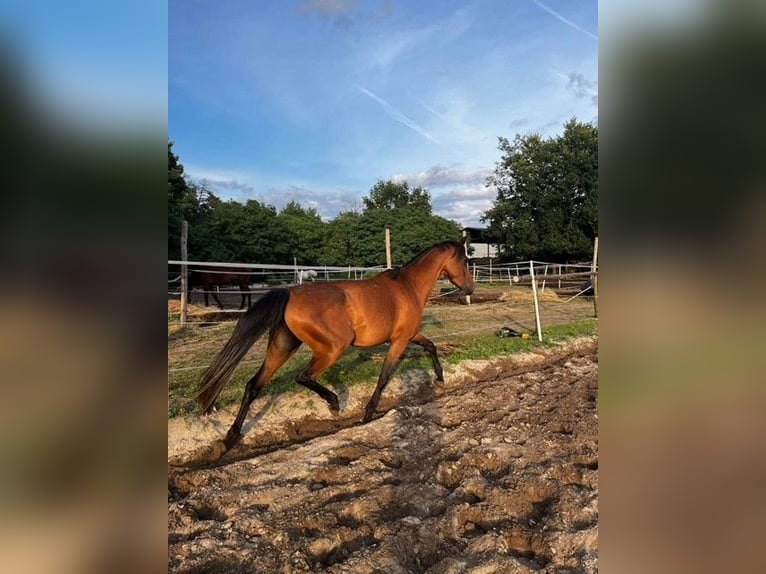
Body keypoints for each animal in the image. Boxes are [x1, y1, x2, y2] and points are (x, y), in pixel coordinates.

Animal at [198, 238, 474, 454]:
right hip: (332, 349)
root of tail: (290, 292)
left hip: (282, 347)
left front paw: (440, 377)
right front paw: (367, 415)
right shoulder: (400, 341)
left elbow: (431, 347)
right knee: (303, 376)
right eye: (464, 261)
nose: (471, 288)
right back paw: (333, 402)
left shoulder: (412, 335)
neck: (408, 287)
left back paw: (230, 439)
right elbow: (384, 378)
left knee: (253, 387)